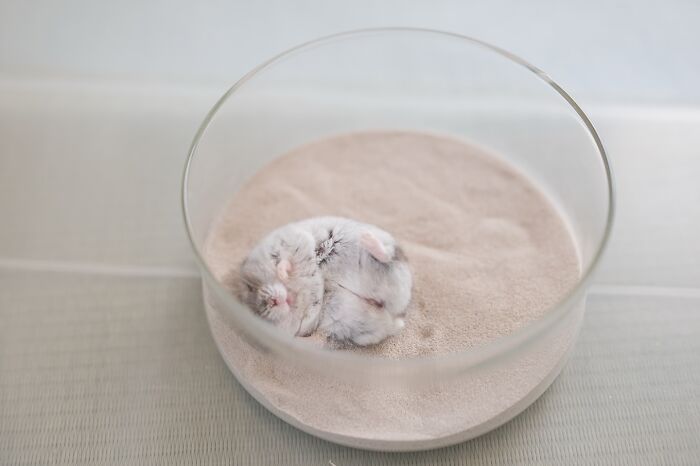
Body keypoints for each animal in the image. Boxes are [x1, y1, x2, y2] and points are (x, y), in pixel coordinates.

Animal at [238, 216, 412, 346]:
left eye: (250, 287)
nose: (272, 302)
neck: (294, 292)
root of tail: (396, 314)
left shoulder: (291, 240)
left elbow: (285, 260)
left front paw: (283, 273)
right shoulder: (305, 321)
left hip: (389, 260)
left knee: (387, 256)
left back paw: (367, 239)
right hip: (352, 327)